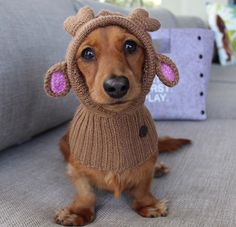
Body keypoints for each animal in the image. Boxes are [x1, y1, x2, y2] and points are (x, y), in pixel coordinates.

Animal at [54, 26, 191, 225]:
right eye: (87, 53)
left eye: (130, 45)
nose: (117, 86)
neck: (115, 122)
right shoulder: (76, 168)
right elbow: (85, 192)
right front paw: (78, 212)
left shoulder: (146, 162)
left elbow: (143, 185)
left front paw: (147, 204)